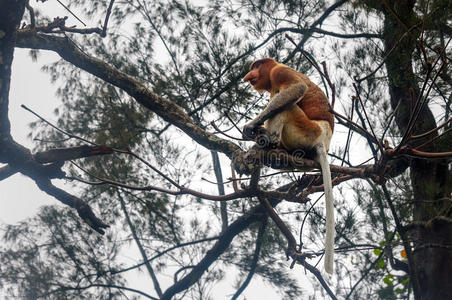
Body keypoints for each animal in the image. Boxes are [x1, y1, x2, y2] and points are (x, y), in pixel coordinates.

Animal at [242, 56, 334, 274]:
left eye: (255, 66)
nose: (248, 75)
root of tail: (323, 141)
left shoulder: (279, 72)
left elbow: (296, 88)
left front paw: (250, 126)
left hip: (307, 130)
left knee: (287, 105)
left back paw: (268, 141)